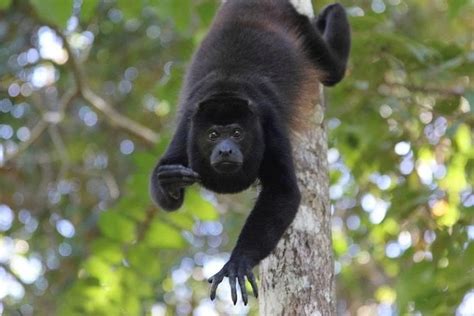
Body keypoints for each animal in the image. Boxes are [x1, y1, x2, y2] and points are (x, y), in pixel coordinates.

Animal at [150, 0, 350, 306]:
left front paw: (238, 261)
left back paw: (331, 14)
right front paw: (169, 181)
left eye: (236, 133)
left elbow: (283, 191)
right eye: (212, 135)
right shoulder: (188, 126)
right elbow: (166, 186)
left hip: (294, 19)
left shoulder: (268, 122)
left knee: (332, 68)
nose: (225, 150)